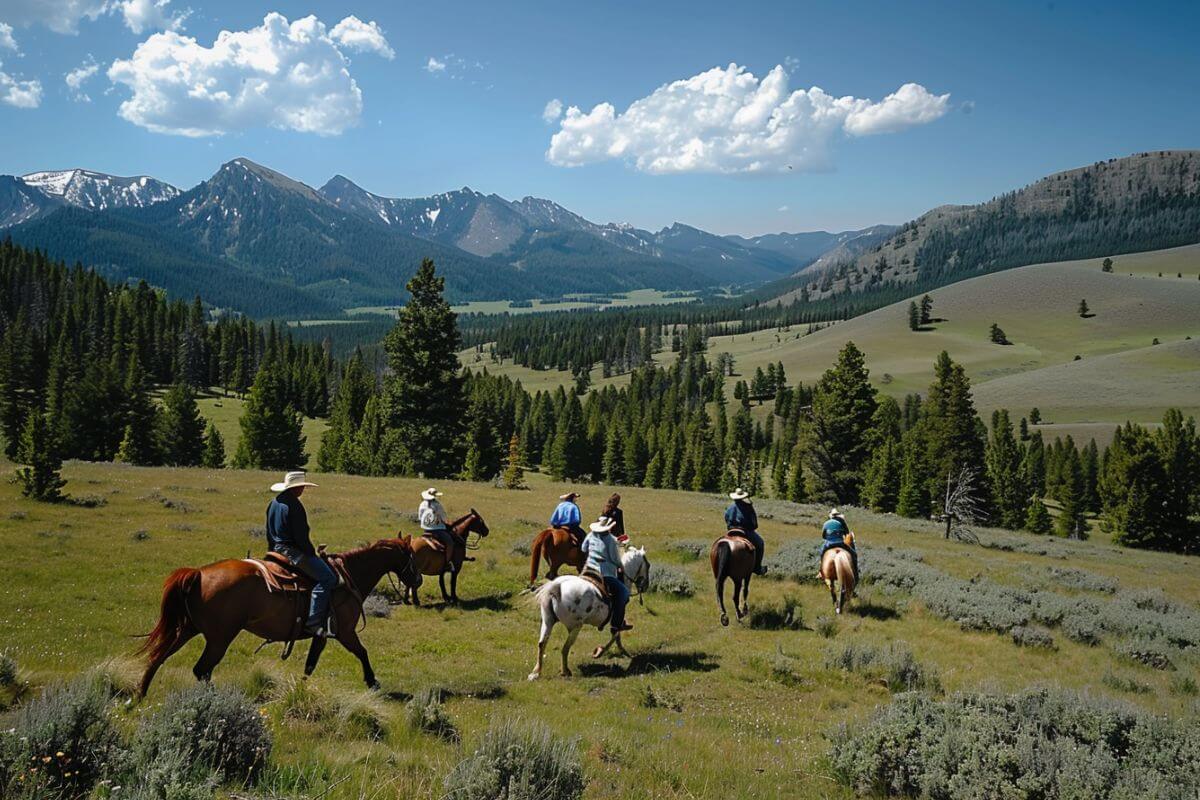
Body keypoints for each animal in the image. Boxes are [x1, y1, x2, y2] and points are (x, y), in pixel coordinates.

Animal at [136, 536, 418, 698]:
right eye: (411, 556)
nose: (418, 580)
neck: (348, 576)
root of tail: (199, 573)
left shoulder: (322, 635)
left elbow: (310, 665)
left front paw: (301, 689)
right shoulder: (345, 632)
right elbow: (362, 652)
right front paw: (372, 682)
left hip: (188, 629)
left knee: (158, 658)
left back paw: (138, 696)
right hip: (219, 638)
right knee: (202, 669)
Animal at [527, 547, 650, 680]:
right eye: (648, 565)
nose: (646, 586)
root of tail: (556, 587)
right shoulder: (618, 614)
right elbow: (616, 634)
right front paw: (602, 652)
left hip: (547, 621)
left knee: (542, 644)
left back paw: (536, 672)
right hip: (575, 627)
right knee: (565, 648)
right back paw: (565, 671)